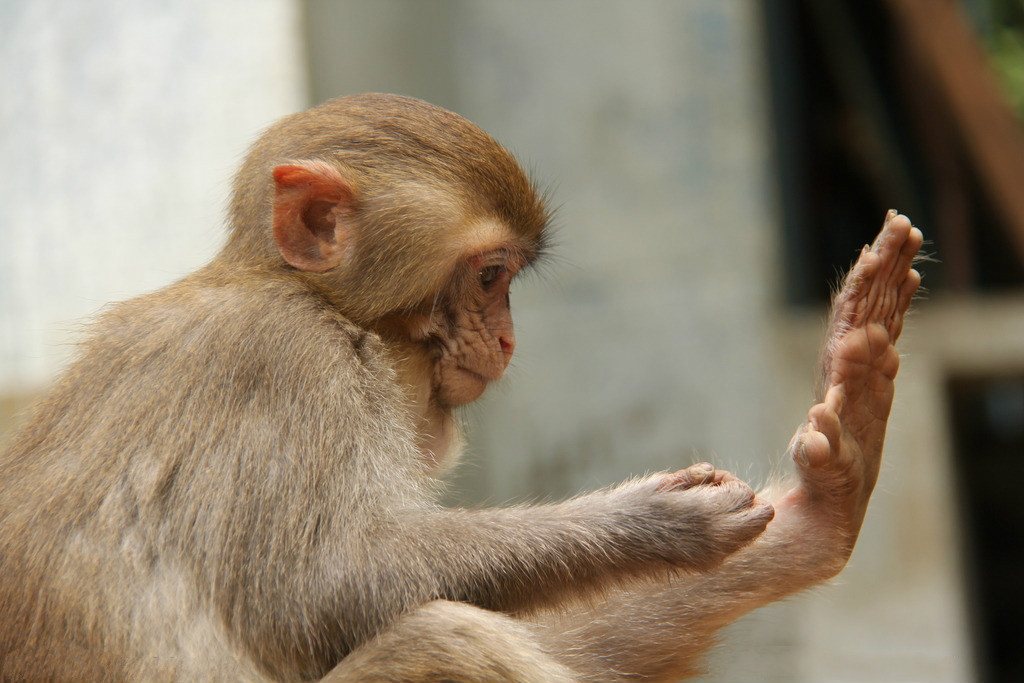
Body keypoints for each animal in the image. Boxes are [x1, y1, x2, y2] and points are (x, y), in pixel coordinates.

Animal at [0, 92, 921, 683]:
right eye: (487, 277)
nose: (509, 338)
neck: (306, 298)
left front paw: (816, 513)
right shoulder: (289, 366)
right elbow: (317, 588)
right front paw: (649, 523)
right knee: (441, 635)